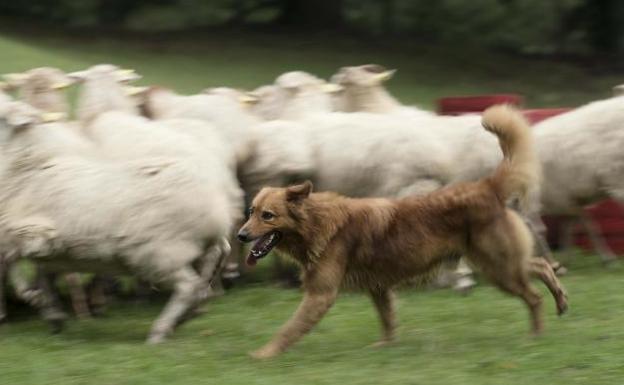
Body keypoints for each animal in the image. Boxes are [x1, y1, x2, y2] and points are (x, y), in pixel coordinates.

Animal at [238, 104, 564, 356]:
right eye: (251, 211)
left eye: (268, 216)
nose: (241, 236)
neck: (317, 222)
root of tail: (486, 186)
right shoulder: (378, 287)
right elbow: (387, 318)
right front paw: (385, 346)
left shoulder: (320, 295)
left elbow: (288, 329)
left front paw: (263, 355)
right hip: (499, 264)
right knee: (539, 265)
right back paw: (560, 299)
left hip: (498, 267)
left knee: (534, 295)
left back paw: (536, 334)